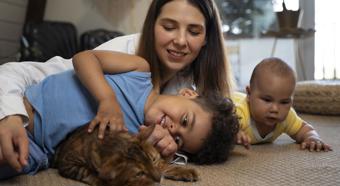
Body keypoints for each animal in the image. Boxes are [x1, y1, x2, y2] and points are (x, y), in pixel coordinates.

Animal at [51, 123, 198, 186]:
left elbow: (164, 166)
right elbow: (87, 172)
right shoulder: (68, 164)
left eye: (153, 160)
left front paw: (184, 171)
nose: (159, 180)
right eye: (139, 174)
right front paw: (103, 181)